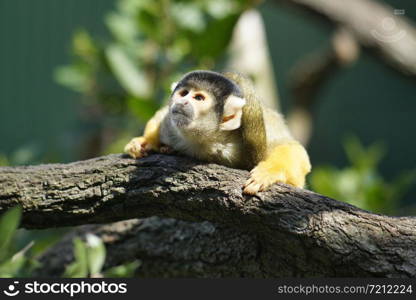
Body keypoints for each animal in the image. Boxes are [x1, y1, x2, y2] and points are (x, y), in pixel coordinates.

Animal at [125, 69, 310, 195]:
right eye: (184, 93)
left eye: (198, 98)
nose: (182, 102)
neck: (206, 139)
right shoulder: (170, 125)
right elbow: (163, 114)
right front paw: (146, 141)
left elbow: (292, 152)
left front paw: (269, 172)